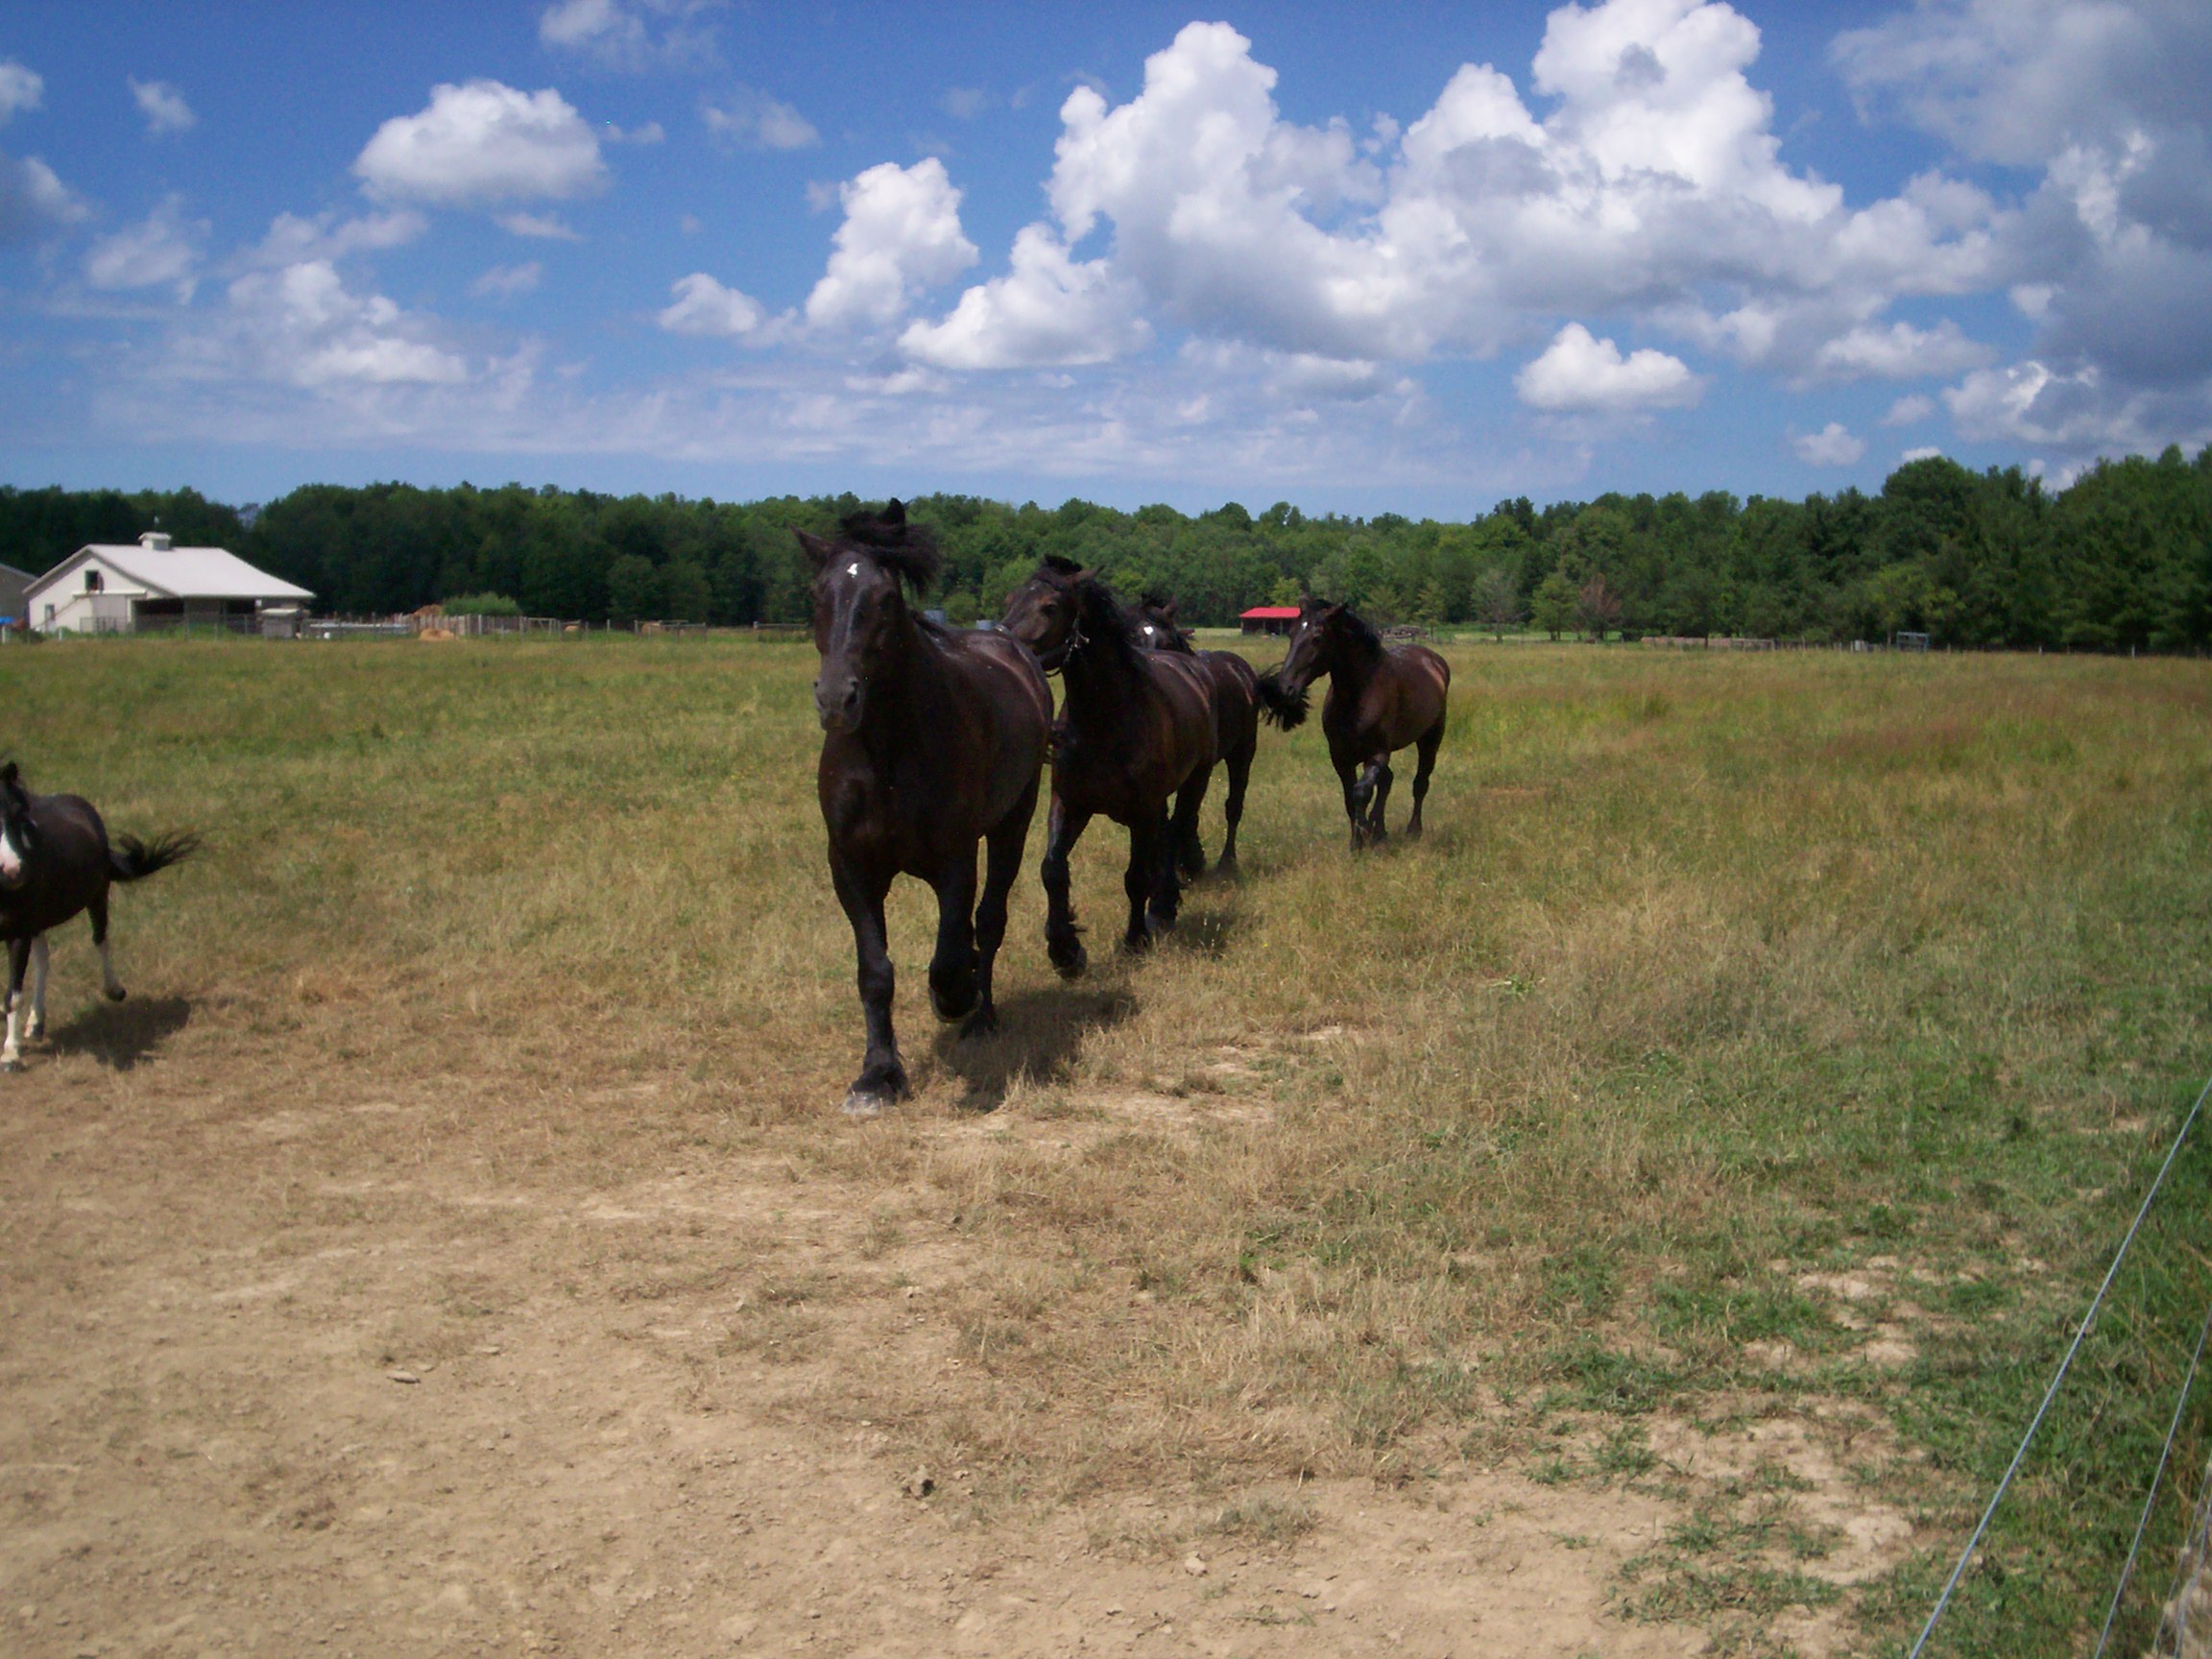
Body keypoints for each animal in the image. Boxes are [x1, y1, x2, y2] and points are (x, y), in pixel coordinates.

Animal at [0, 761, 199, 1071]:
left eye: (18, 815)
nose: (13, 871)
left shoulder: (18, 933)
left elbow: (12, 995)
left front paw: (10, 1054)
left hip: (96, 896)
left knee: (100, 938)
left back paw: (114, 990)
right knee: (44, 958)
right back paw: (36, 1023)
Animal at [803, 503, 1053, 1116]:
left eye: (886, 598)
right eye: (818, 594)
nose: (837, 699)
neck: (888, 753)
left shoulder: (955, 860)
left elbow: (950, 954)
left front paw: (954, 998)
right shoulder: (851, 867)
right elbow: (875, 971)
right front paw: (877, 1077)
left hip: (1013, 824)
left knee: (990, 919)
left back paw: (980, 1016)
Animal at [1002, 559, 1218, 975]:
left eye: (1050, 607)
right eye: (1009, 599)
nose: (1004, 650)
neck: (1107, 720)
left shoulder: (1142, 813)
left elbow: (1135, 877)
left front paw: (1135, 940)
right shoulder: (1069, 803)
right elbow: (1052, 870)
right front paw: (1065, 951)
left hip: (1194, 782)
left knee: (1175, 831)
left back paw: (1162, 907)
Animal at [1130, 593, 1259, 874]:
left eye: (1167, 642)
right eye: (1132, 640)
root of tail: (1240, 669)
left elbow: (1182, 815)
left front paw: (1187, 863)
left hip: (1242, 753)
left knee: (1233, 806)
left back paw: (1226, 861)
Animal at [1256, 598, 1451, 851]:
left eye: (1317, 637)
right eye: (1291, 633)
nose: (1285, 689)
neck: (1359, 695)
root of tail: (1434, 661)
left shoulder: (1377, 754)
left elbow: (1361, 792)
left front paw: (1360, 839)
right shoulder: (1340, 756)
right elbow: (1350, 797)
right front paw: (1360, 836)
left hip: (1430, 737)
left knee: (1420, 782)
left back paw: (1412, 830)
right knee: (1387, 781)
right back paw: (1380, 831)